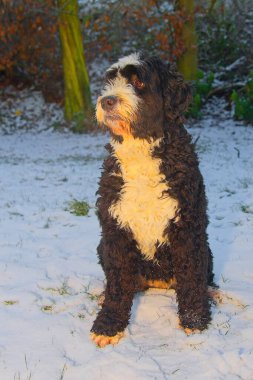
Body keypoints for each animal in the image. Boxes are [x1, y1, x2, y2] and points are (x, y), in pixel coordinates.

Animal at [90, 52, 214, 348]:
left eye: (138, 82)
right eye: (110, 81)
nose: (106, 100)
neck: (141, 152)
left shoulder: (188, 229)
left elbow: (192, 278)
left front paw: (195, 320)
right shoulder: (115, 232)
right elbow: (117, 285)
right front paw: (108, 324)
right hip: (102, 247)